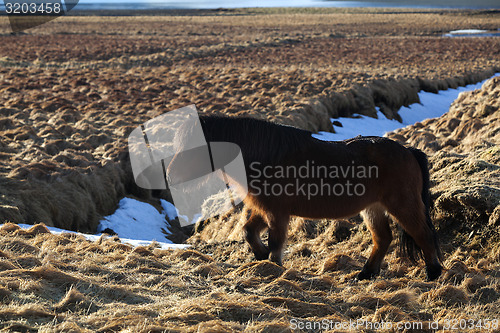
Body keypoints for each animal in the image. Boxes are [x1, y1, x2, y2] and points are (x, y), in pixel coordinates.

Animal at [170, 115, 444, 278]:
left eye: (193, 146)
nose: (171, 174)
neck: (267, 156)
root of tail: (408, 150)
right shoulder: (264, 209)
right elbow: (249, 232)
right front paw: (261, 258)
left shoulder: (277, 212)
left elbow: (276, 242)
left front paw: (274, 267)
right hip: (373, 208)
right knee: (383, 238)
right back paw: (366, 273)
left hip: (402, 205)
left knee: (423, 234)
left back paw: (433, 273)